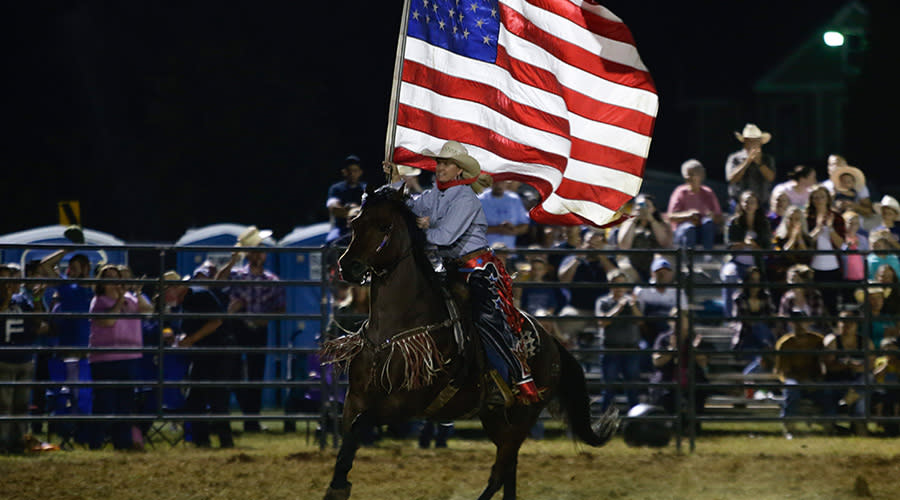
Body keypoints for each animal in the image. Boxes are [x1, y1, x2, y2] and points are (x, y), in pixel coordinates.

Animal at [318, 186, 620, 500]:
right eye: (354, 223)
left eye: (384, 226)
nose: (348, 267)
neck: (393, 332)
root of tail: (553, 345)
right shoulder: (355, 398)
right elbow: (348, 437)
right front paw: (337, 483)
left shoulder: (403, 403)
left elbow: (360, 427)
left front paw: (339, 486)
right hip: (497, 418)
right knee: (509, 470)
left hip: (522, 417)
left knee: (500, 472)